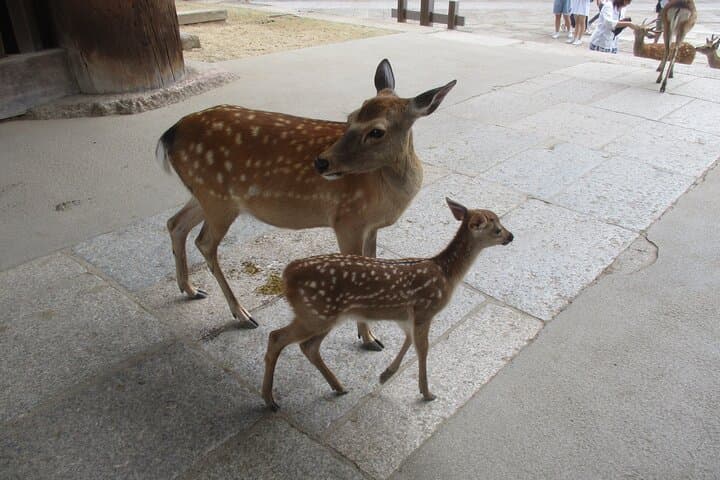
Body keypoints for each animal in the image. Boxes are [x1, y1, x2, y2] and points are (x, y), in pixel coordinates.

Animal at [155, 59, 457, 351]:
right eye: (350, 118)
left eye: (376, 131)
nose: (321, 161)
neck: (386, 192)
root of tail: (170, 134)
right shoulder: (347, 220)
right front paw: (368, 337)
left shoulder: (371, 226)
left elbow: (371, 265)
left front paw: (370, 331)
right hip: (217, 197)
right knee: (204, 242)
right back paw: (241, 314)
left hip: (205, 193)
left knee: (175, 223)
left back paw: (190, 289)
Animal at [261, 198, 514, 411]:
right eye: (497, 229)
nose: (511, 236)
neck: (445, 274)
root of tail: (287, 275)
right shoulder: (425, 310)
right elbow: (423, 349)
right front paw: (427, 393)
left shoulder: (407, 316)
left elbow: (409, 340)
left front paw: (386, 374)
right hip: (315, 313)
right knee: (277, 337)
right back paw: (270, 400)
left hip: (325, 315)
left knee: (308, 347)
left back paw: (338, 386)